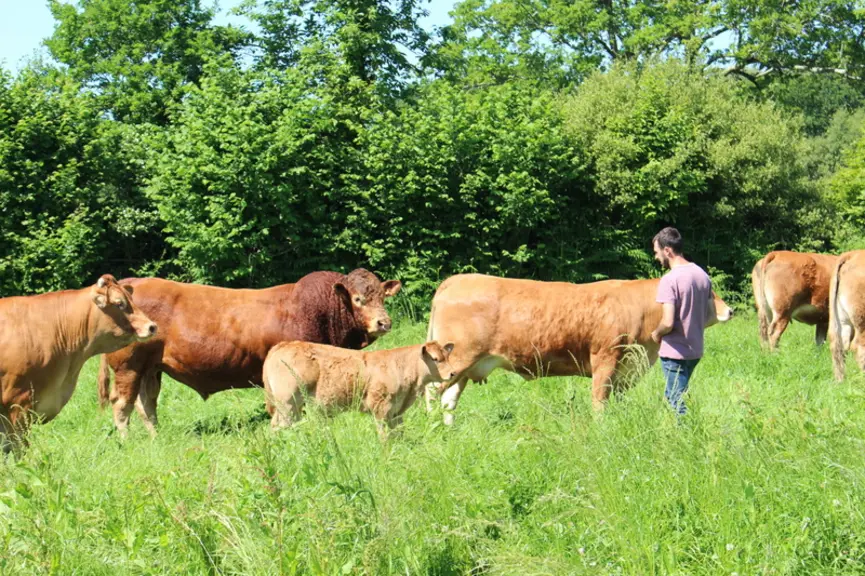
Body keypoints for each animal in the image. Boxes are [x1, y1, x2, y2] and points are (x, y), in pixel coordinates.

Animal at [98, 269, 401, 436]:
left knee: (146, 403)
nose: (384, 322)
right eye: (358, 299)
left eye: (383, 297)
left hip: (150, 368)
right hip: (128, 366)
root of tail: (128, 284)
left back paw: (155, 436)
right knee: (122, 404)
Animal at [263, 340, 456, 437]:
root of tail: (283, 344)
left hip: (295, 406)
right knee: (277, 427)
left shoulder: (396, 412)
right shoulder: (380, 408)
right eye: (435, 359)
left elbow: (398, 433)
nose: (453, 373)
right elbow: (384, 436)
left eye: (447, 356)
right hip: (286, 402)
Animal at [425, 274, 733, 424]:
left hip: (465, 369)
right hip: (456, 361)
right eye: (709, 292)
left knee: (448, 399)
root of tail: (457, 279)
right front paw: (600, 428)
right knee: (431, 392)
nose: (730, 310)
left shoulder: (624, 369)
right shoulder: (605, 358)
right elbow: (599, 400)